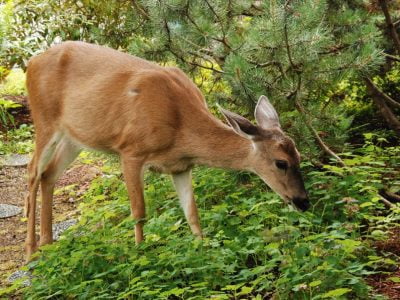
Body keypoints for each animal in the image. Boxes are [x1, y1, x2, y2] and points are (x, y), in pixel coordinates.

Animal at [25, 41, 310, 260]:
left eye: (299, 157)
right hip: (44, 119)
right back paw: (31, 252)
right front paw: (140, 253)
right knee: (32, 172)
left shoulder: (181, 166)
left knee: (49, 174)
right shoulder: (130, 150)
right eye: (281, 163)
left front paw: (204, 250)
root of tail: (32, 62)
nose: (303, 202)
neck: (180, 127)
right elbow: (139, 212)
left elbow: (192, 213)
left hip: (73, 138)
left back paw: (48, 244)